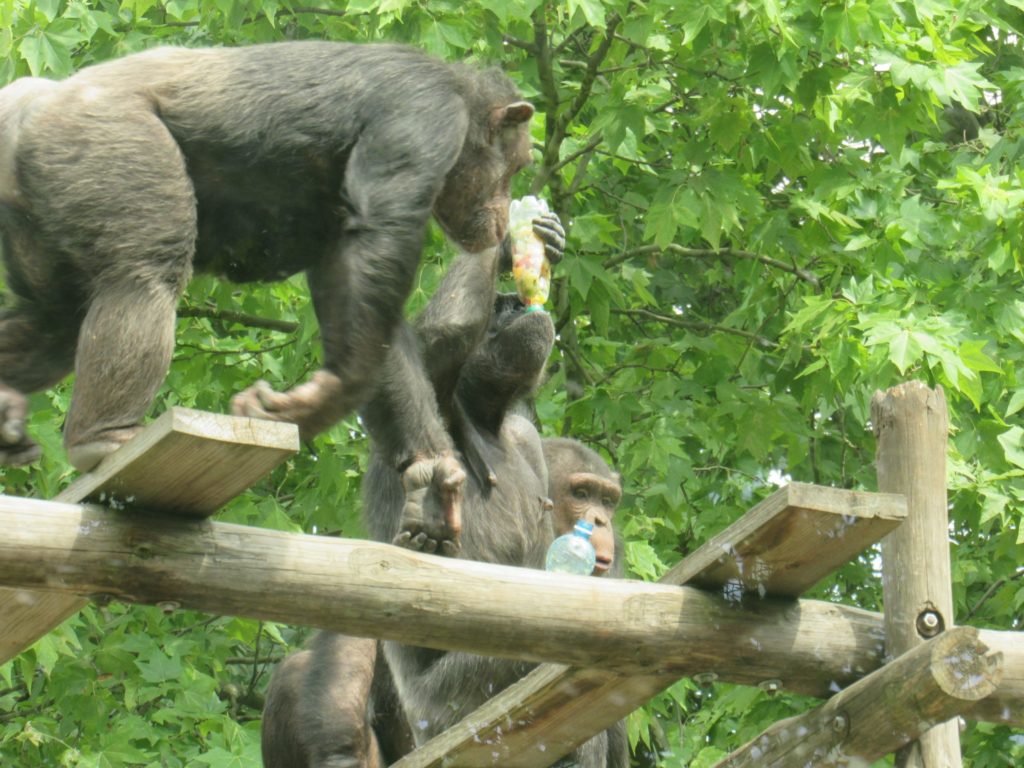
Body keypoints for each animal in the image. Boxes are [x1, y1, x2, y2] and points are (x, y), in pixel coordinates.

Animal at [0, 41, 536, 479]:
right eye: (518, 165)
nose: (506, 207)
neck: (462, 106)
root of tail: (28, 103)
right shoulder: (424, 114)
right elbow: (379, 237)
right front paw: (329, 397)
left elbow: (351, 283)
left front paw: (433, 475)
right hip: (106, 142)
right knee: (143, 276)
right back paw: (103, 438)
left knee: (56, 318)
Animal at [260, 219, 626, 765]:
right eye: (584, 494)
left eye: (605, 501)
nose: (515, 303)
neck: (484, 413)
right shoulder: (434, 385)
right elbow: (421, 347)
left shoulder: (527, 437)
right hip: (453, 711)